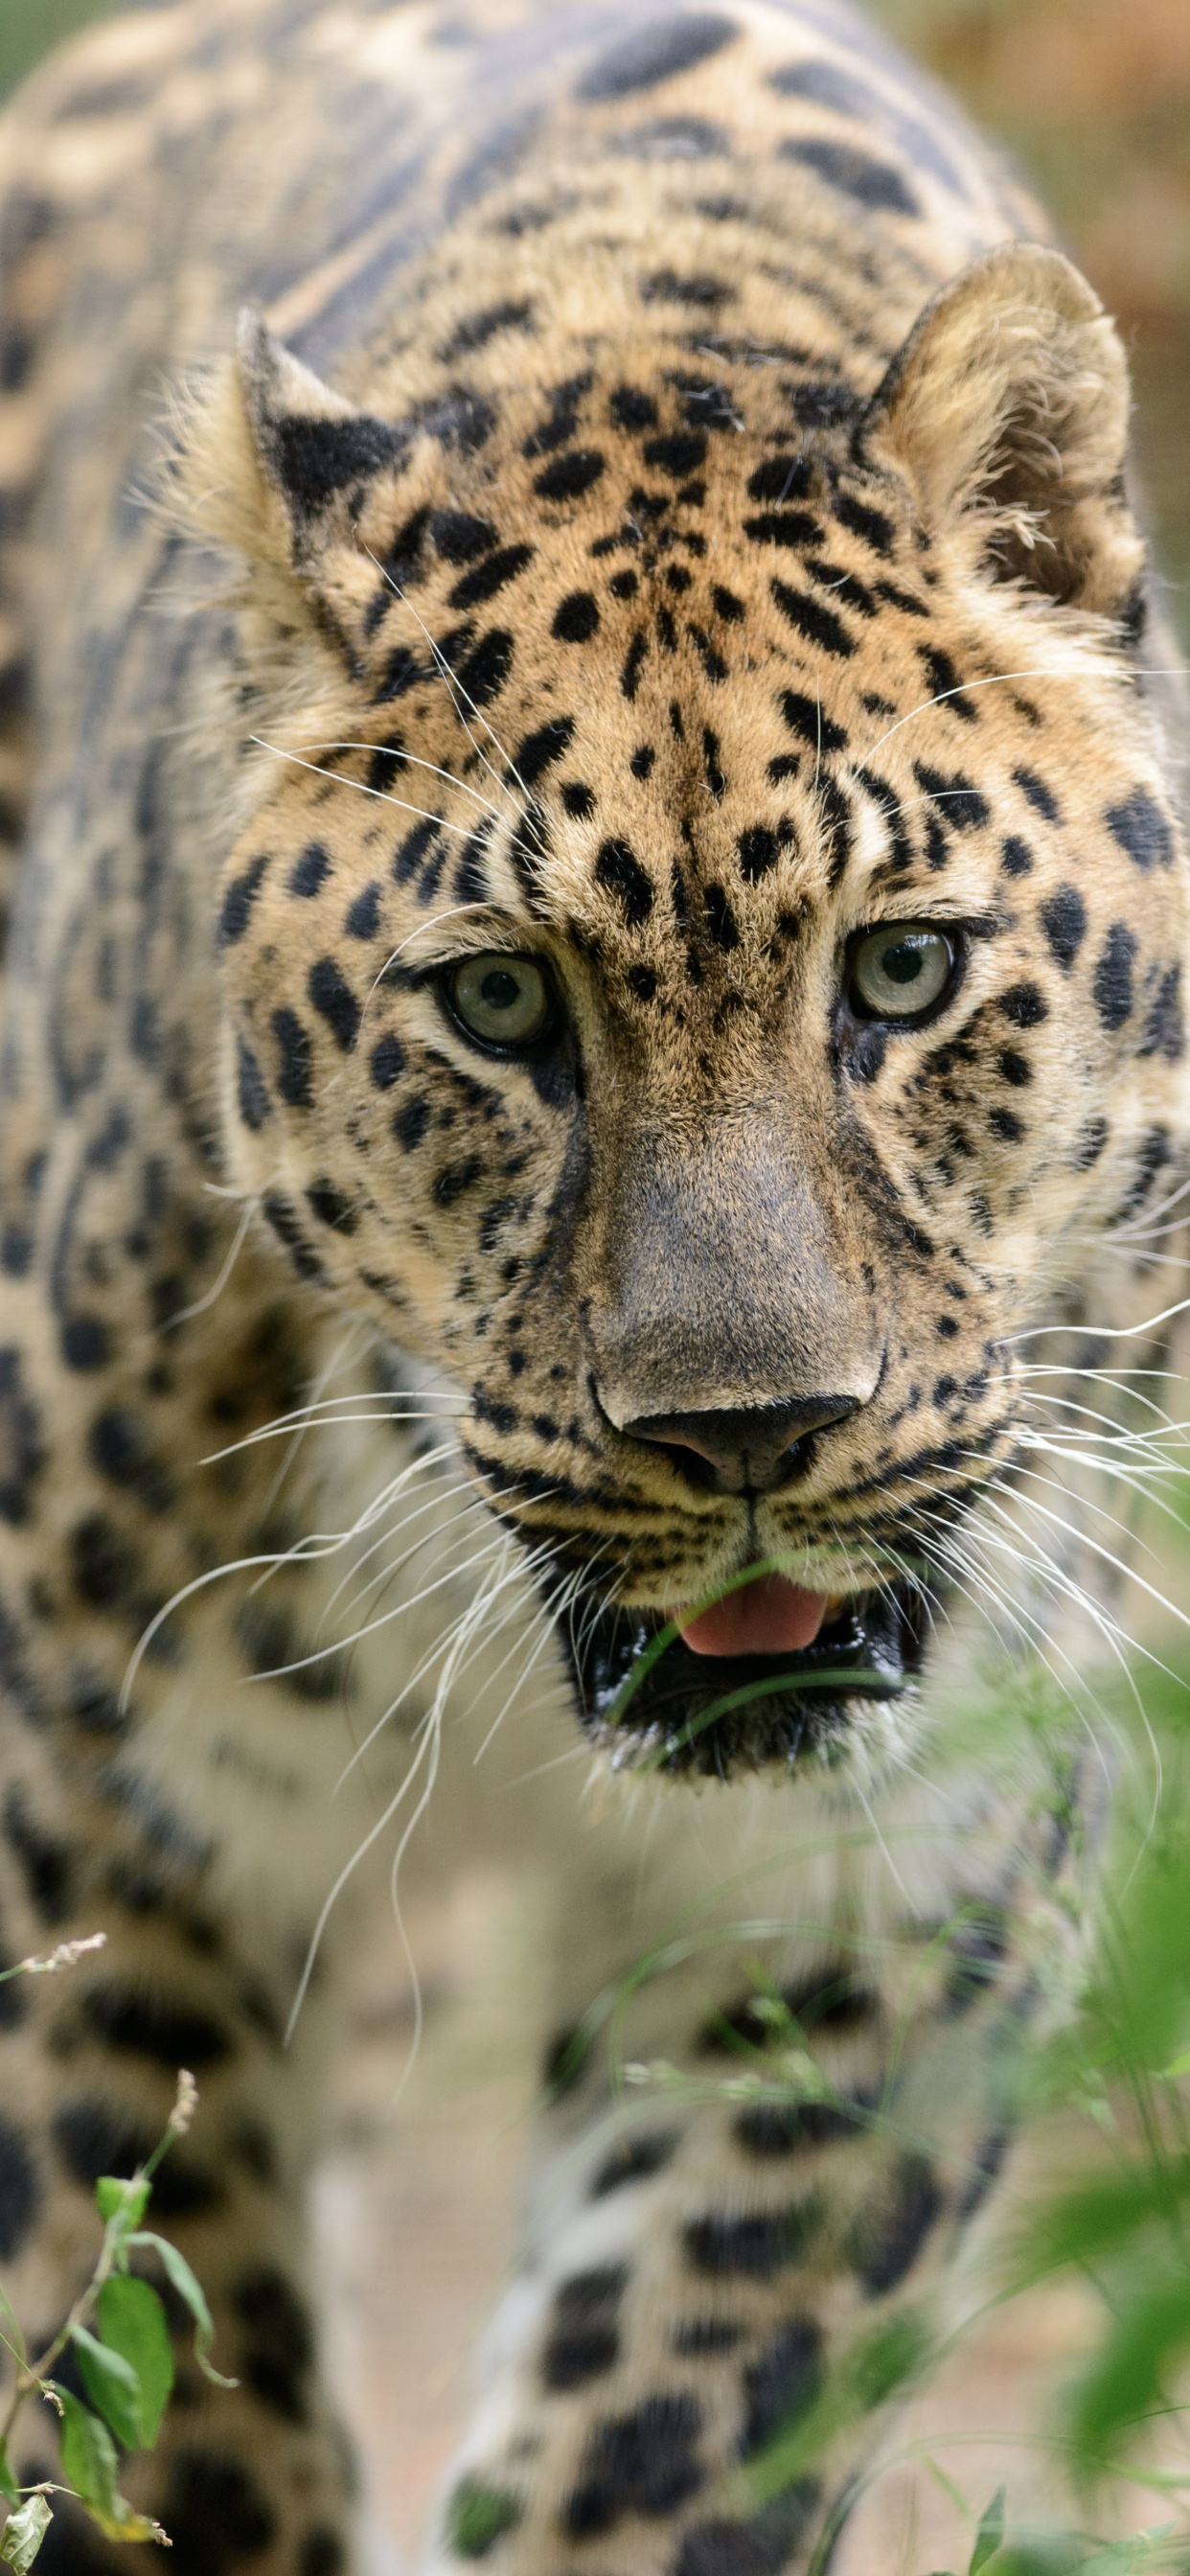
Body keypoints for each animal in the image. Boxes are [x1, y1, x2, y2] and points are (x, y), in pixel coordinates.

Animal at [0, 0, 1184, 2565]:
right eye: (499, 1006)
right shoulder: (80, 1819)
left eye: (903, 970)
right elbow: (145, 2383)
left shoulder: (894, 1898)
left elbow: (681, 2425)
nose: (750, 1436)